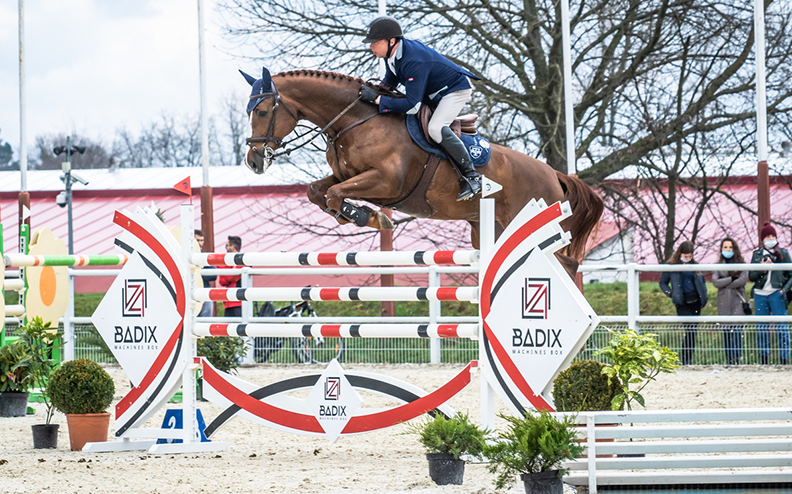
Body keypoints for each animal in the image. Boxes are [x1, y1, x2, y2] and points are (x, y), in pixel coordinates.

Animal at [240, 68, 603, 275]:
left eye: (262, 111)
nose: (254, 162)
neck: (354, 120)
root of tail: (555, 175)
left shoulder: (386, 183)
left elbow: (333, 193)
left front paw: (368, 217)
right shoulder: (347, 176)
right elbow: (318, 191)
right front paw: (355, 215)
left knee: (568, 264)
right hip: (491, 230)